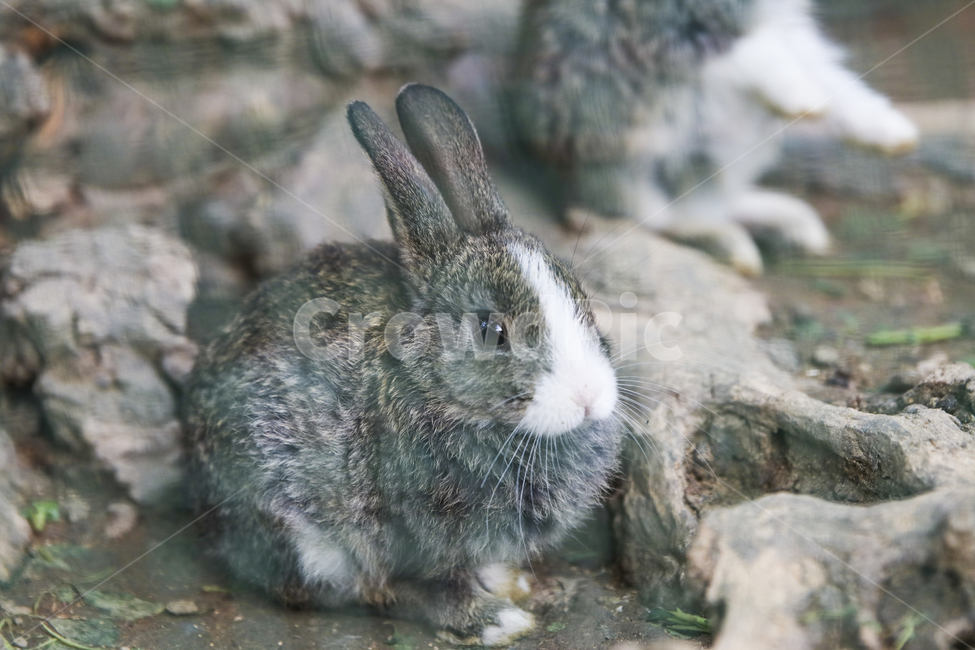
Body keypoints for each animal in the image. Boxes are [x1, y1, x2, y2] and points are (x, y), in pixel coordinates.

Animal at [184, 83, 622, 646]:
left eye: (583, 301)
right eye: (491, 331)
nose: (588, 398)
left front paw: (510, 583)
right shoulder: (408, 530)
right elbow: (429, 584)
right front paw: (495, 619)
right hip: (296, 526)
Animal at [509, 0, 917, 275]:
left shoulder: (787, 29)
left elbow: (832, 77)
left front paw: (894, 136)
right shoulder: (677, 32)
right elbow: (751, 53)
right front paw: (806, 102)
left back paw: (794, 225)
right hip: (657, 132)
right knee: (659, 218)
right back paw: (734, 245)